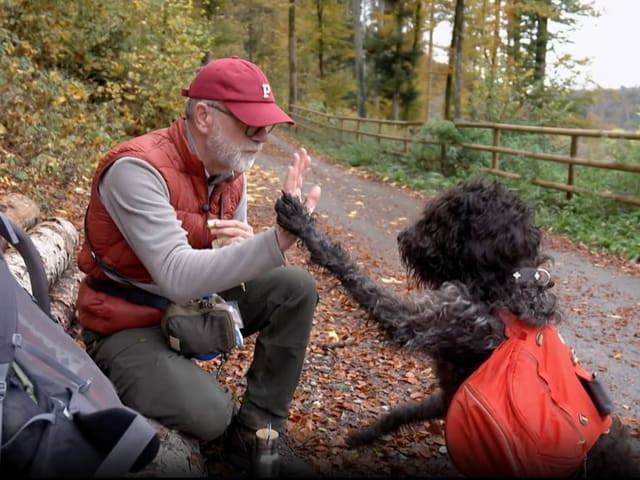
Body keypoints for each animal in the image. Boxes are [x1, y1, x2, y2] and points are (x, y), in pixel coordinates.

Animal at [276, 179, 640, 476]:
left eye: (441, 223)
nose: (402, 237)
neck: (505, 283)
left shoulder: (428, 318)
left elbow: (350, 267)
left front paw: (303, 224)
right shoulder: (447, 394)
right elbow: (404, 412)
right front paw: (366, 434)